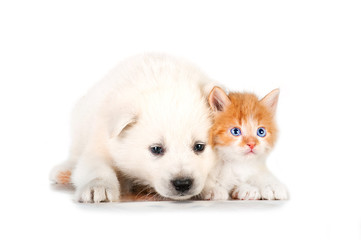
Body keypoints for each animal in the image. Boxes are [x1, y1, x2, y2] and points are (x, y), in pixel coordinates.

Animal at [50, 53, 217, 202]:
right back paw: (63, 172)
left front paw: (212, 186)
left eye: (199, 146)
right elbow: (95, 166)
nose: (182, 183)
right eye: (156, 149)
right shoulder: (100, 142)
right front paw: (98, 187)